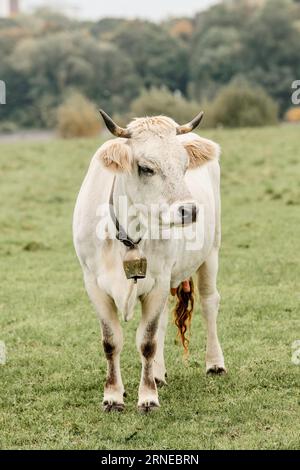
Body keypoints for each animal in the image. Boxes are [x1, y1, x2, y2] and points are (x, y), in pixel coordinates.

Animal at [74, 111, 226, 412]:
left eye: (184, 165)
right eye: (145, 168)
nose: (189, 210)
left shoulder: (157, 281)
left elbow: (146, 342)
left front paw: (147, 397)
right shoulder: (93, 284)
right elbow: (111, 341)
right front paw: (113, 396)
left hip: (211, 252)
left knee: (209, 303)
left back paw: (214, 363)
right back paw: (158, 373)